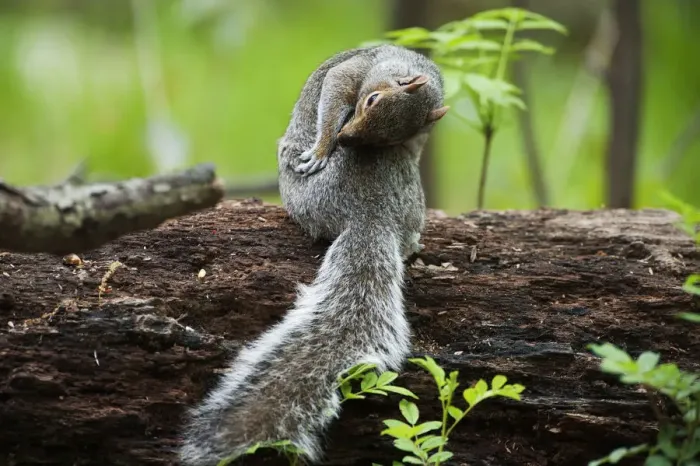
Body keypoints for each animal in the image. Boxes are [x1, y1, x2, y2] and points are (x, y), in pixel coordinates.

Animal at [179, 44, 449, 465]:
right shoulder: (357, 71)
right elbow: (336, 87)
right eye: (371, 100)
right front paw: (323, 144)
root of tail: (370, 213)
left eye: (389, 132)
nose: (347, 140)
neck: (403, 63)